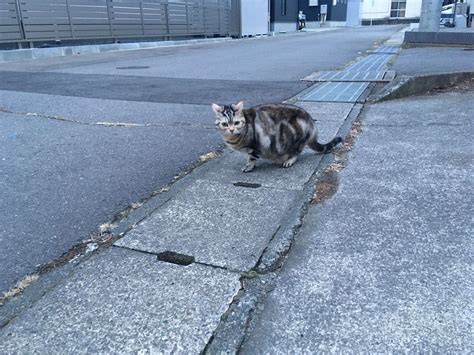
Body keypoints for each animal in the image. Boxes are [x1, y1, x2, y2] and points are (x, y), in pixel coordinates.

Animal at [213, 101, 342, 173]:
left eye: (236, 123)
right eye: (225, 124)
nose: (231, 129)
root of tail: (311, 124)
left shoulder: (254, 146)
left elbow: (252, 158)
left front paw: (249, 167)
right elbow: (248, 157)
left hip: (295, 139)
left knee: (296, 152)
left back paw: (289, 160)